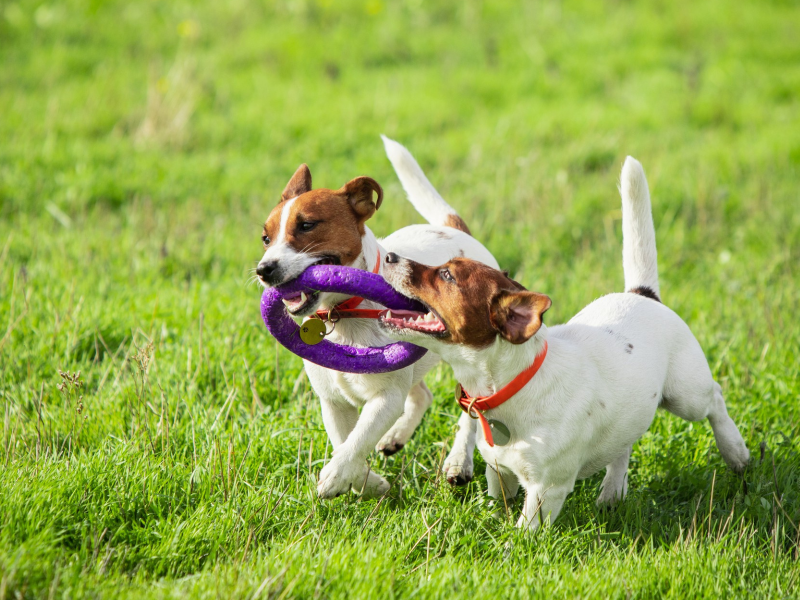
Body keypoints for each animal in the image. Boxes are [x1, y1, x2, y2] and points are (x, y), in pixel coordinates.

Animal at [256, 138, 496, 500]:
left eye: (307, 225)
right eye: (266, 238)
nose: (263, 270)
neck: (344, 313)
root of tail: (454, 230)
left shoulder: (385, 398)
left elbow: (356, 441)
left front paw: (336, 476)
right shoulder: (333, 402)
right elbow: (345, 441)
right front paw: (368, 482)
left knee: (470, 410)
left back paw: (458, 462)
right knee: (422, 395)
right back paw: (396, 437)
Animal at [378, 157, 748, 528]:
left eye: (447, 275)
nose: (390, 256)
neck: (512, 385)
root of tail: (642, 294)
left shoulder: (546, 490)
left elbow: (523, 531)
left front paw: (512, 540)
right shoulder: (501, 471)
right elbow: (500, 498)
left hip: (686, 395)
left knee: (715, 398)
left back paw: (736, 452)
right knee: (624, 444)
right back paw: (612, 491)